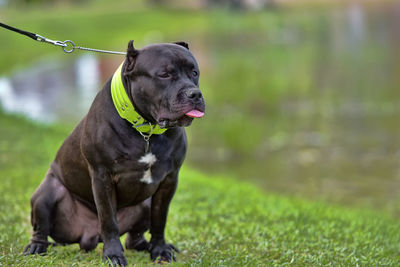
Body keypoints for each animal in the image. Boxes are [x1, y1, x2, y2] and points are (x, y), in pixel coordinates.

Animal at [23, 39, 206, 266]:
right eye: (164, 74)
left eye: (194, 72)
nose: (194, 93)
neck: (146, 130)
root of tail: (88, 236)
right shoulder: (103, 177)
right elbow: (109, 220)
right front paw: (113, 255)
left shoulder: (169, 180)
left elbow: (160, 219)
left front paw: (160, 249)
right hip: (47, 192)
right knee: (41, 227)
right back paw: (36, 246)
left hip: (145, 204)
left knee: (134, 237)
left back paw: (146, 246)